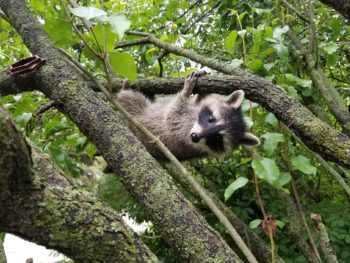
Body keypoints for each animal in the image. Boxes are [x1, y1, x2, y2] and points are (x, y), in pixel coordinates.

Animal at [117, 70, 260, 161]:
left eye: (217, 139)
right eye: (211, 119)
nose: (195, 137)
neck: (194, 119)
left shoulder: (183, 132)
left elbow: (173, 116)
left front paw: (186, 91)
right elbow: (198, 101)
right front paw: (202, 92)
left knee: (131, 101)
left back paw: (124, 90)